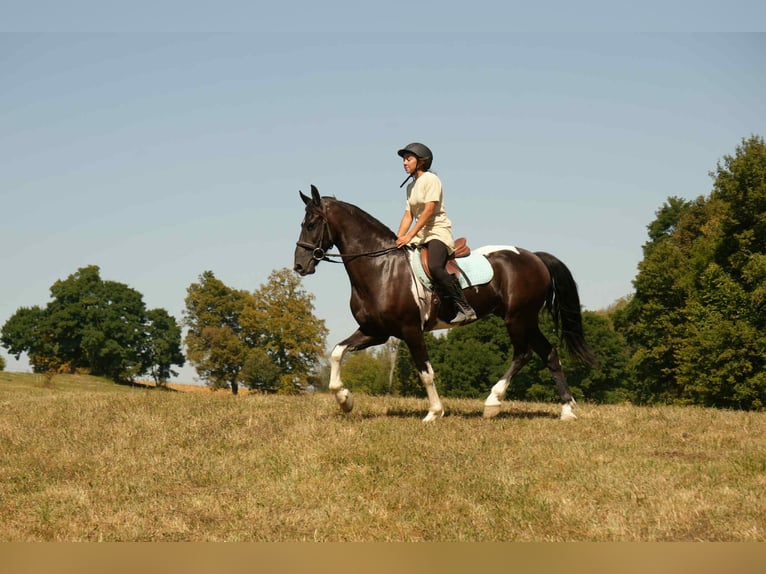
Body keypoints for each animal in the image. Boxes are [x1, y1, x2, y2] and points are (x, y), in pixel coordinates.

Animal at [293, 185, 596, 422]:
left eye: (312, 224)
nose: (299, 265)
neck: (381, 267)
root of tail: (535, 257)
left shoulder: (410, 330)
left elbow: (426, 372)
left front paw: (434, 412)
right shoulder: (376, 332)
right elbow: (337, 352)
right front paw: (345, 400)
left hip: (518, 318)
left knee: (523, 354)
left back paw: (493, 403)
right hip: (527, 319)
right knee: (549, 354)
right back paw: (567, 410)